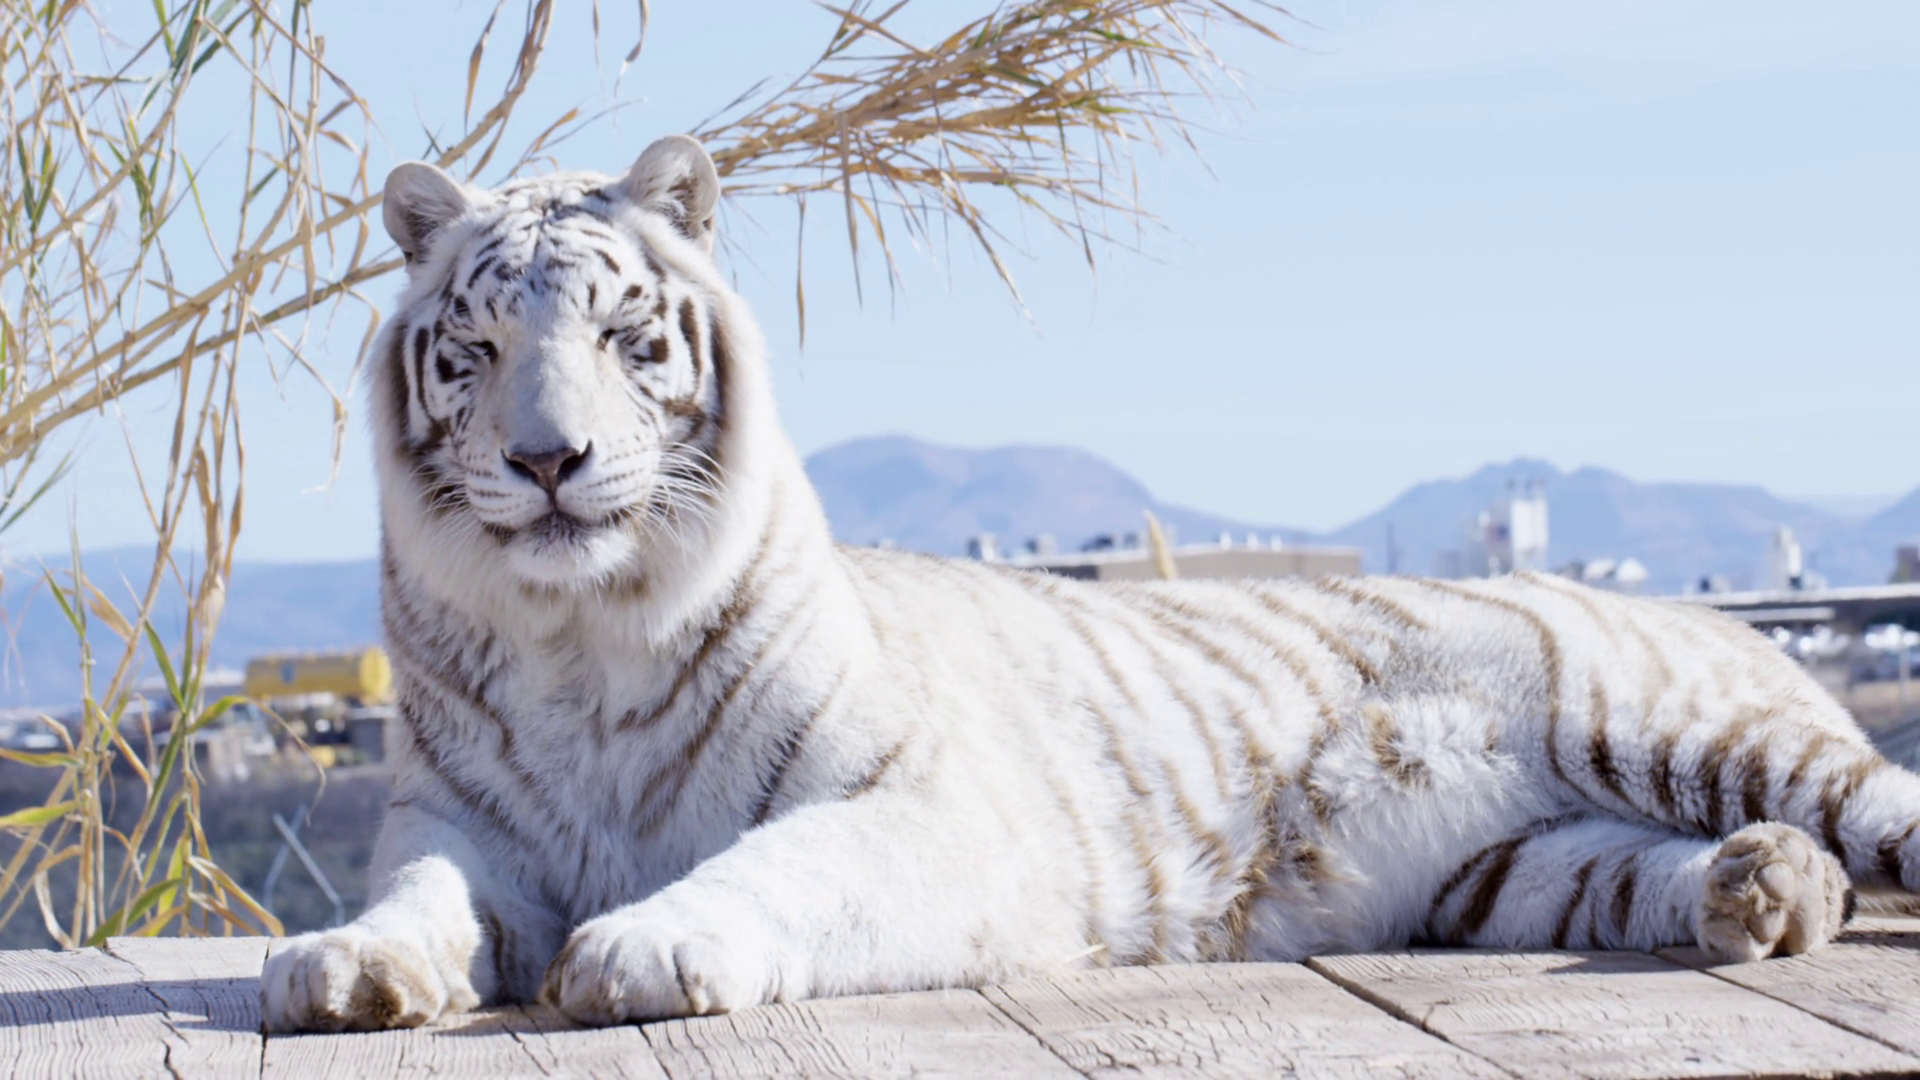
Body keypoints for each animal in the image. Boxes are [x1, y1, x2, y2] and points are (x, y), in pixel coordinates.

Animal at [262, 133, 1906, 1033]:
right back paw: (1764, 895)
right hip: (1521, 868)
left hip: (1662, 722)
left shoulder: (922, 809)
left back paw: (1793, 871)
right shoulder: (456, 828)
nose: (549, 459)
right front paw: (338, 971)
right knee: (1656, 870)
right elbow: (410, 902)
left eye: (623, 337)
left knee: (1877, 808)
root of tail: (1723, 622)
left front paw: (645, 946)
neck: (581, 633)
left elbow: (774, 867)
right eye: (477, 349)